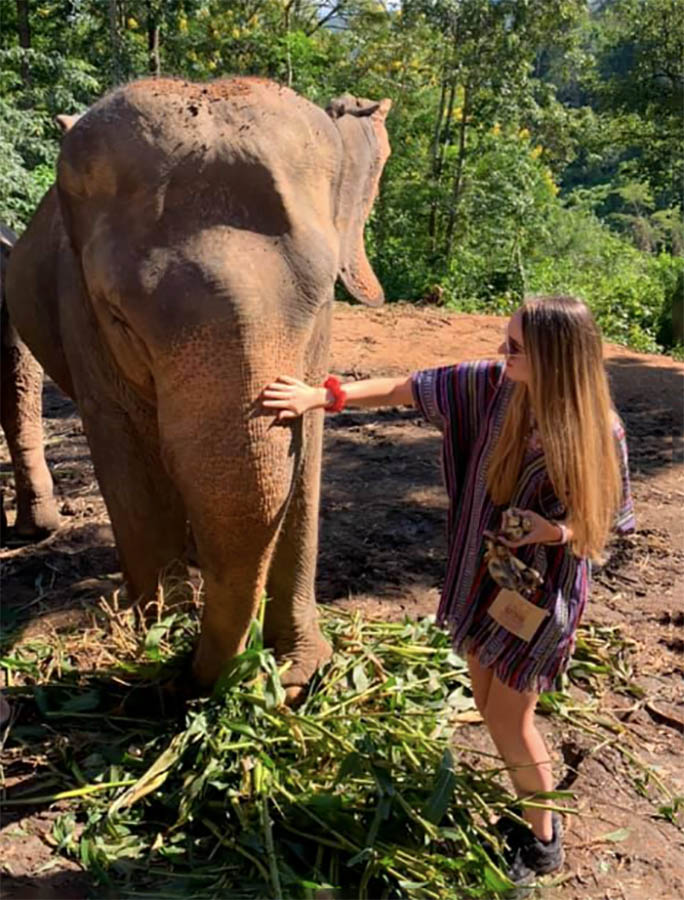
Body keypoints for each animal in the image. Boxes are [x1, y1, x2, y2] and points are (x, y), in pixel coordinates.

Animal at [6, 75, 390, 696]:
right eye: (119, 317)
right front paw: (159, 633)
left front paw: (298, 671)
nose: (194, 670)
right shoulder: (80, 313)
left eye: (321, 300)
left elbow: (304, 453)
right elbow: (127, 459)